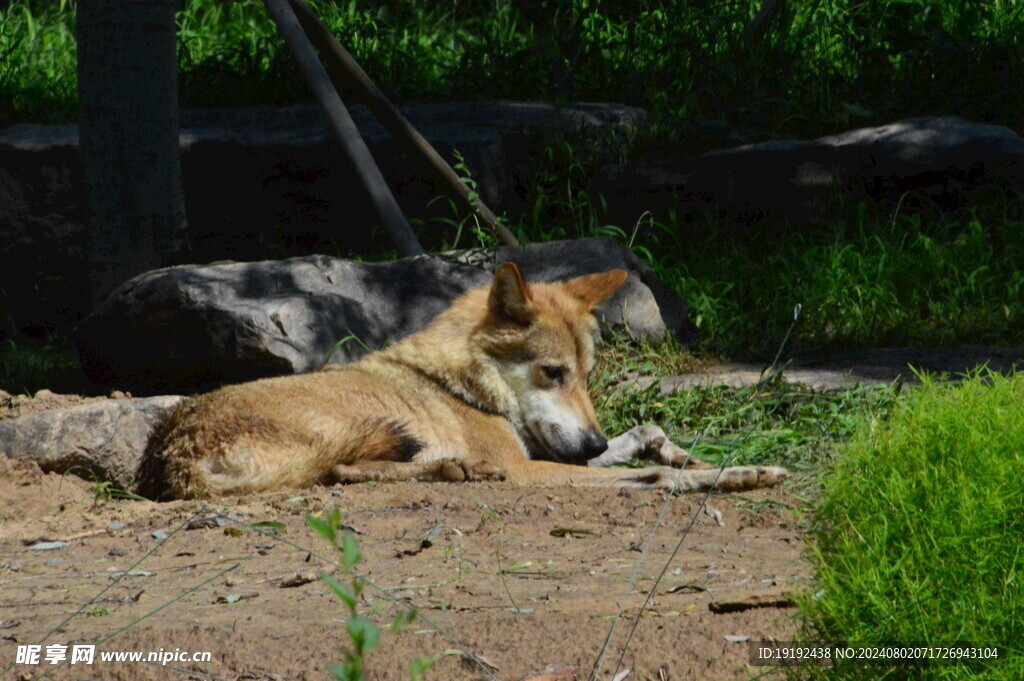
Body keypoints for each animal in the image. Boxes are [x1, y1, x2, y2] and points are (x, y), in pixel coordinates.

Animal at [140, 264, 786, 499]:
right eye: (553, 374)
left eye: (586, 377)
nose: (595, 441)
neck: (465, 386)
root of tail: (174, 447)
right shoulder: (530, 469)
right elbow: (646, 476)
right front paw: (735, 474)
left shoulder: (557, 451)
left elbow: (646, 435)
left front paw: (687, 455)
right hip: (355, 424)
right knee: (341, 470)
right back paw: (460, 469)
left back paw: (457, 469)